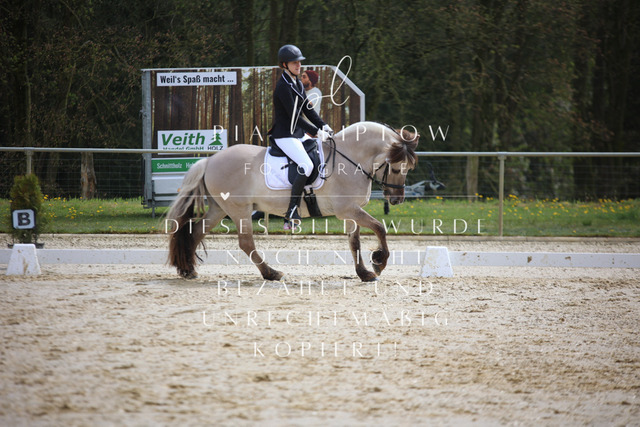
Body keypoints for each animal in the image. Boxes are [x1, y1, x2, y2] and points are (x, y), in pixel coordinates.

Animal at [166, 121, 419, 282]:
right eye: (397, 168)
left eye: (409, 168)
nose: (397, 199)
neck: (351, 158)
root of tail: (209, 161)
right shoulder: (347, 209)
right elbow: (380, 227)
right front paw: (379, 262)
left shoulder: (350, 211)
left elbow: (354, 242)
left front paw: (364, 273)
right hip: (239, 210)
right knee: (246, 243)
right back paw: (271, 273)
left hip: (219, 208)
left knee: (196, 232)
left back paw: (188, 270)